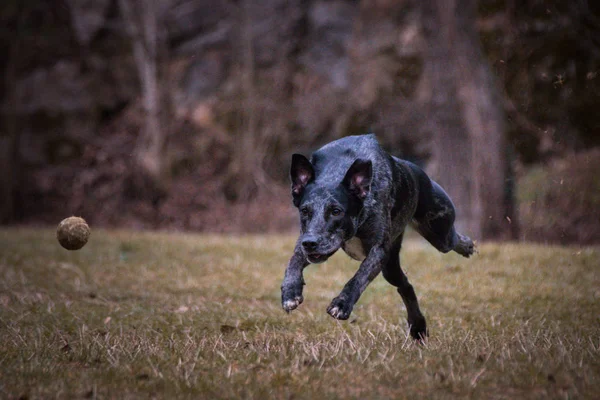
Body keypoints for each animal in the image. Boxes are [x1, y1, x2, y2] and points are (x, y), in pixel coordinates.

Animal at [280, 134, 474, 338]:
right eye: (304, 211)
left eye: (336, 211)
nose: (310, 243)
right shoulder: (306, 238)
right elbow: (293, 262)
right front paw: (290, 292)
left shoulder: (378, 251)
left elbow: (360, 276)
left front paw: (342, 304)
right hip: (391, 267)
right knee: (405, 286)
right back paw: (417, 326)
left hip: (438, 232)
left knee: (450, 240)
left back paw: (467, 245)